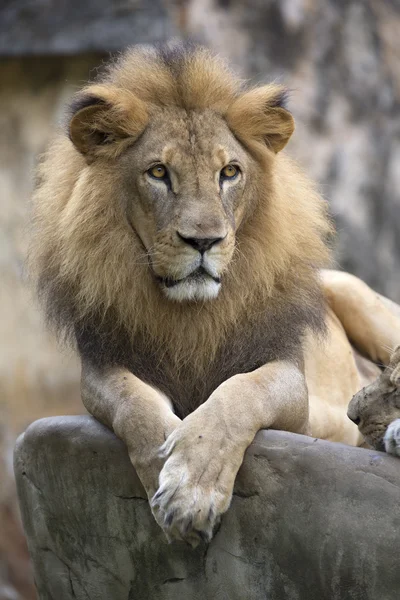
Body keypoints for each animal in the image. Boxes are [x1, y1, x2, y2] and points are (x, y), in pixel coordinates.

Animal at [29, 42, 400, 548]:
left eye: (229, 172)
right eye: (158, 172)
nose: (204, 241)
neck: (191, 314)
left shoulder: (292, 385)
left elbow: (238, 394)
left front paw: (191, 487)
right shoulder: (104, 365)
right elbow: (135, 406)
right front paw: (167, 468)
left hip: (352, 293)